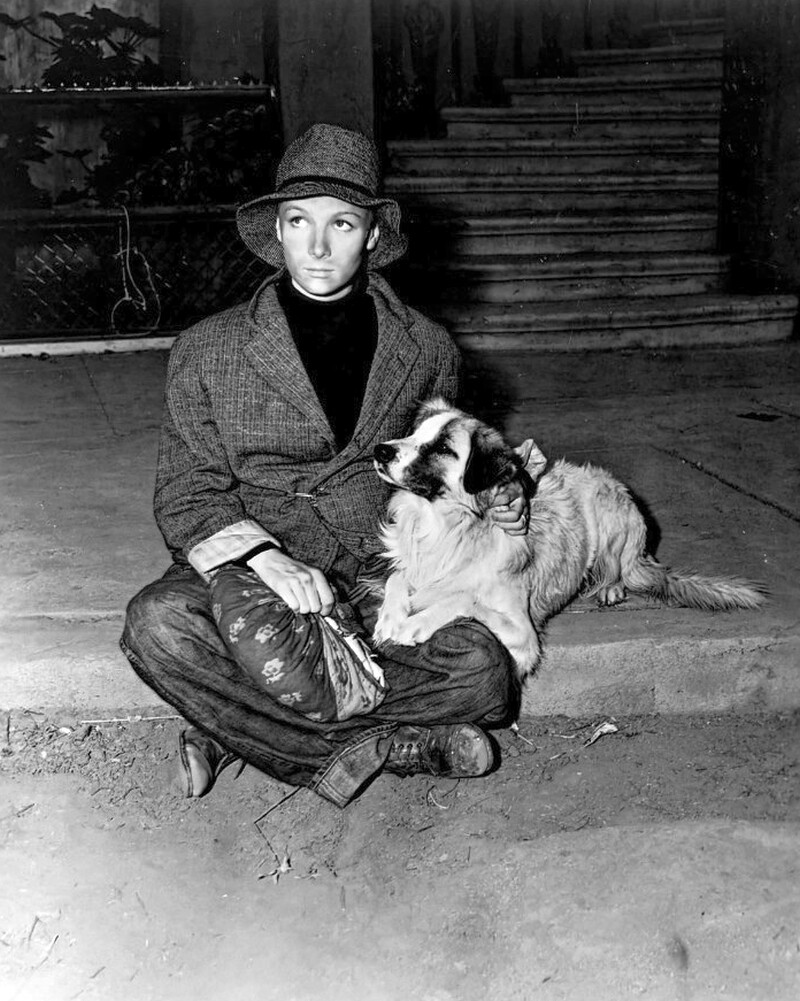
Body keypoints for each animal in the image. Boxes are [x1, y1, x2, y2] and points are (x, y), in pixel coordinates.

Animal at [371, 399, 766, 680]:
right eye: (413, 434)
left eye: (442, 448)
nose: (381, 450)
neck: (445, 529)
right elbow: (398, 576)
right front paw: (390, 615)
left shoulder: (523, 637)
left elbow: (465, 598)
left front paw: (414, 623)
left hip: (608, 514)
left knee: (615, 568)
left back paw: (610, 587)